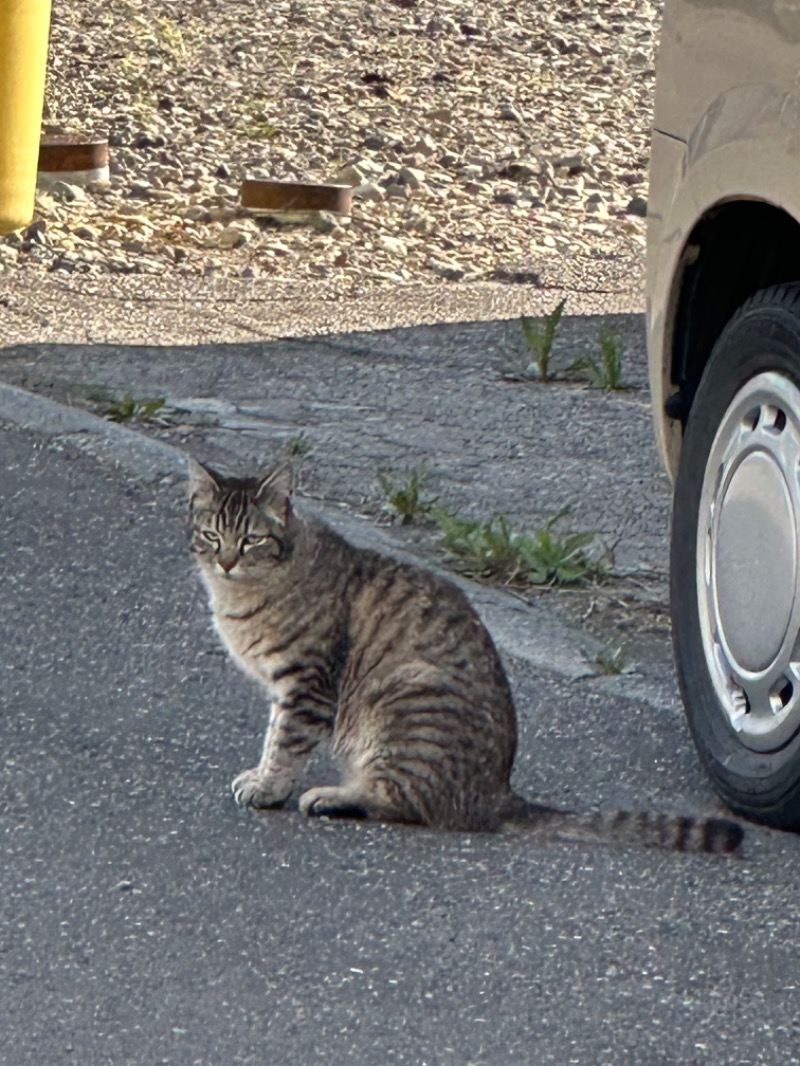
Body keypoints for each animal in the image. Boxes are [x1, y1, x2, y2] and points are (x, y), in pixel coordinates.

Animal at [187, 460, 746, 857]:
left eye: (252, 539)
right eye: (212, 535)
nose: (226, 560)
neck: (242, 597)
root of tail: (497, 794)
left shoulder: (305, 685)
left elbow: (284, 742)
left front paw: (268, 787)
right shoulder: (287, 687)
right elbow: (273, 736)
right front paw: (260, 775)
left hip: (402, 700)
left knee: (399, 800)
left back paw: (332, 795)